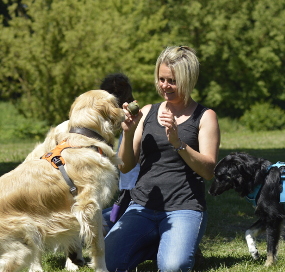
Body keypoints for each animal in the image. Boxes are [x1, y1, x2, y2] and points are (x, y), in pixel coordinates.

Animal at [0, 90, 124, 270]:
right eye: (116, 102)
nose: (125, 111)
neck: (84, 139)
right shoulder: (90, 207)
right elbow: (100, 245)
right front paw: (102, 268)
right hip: (21, 244)